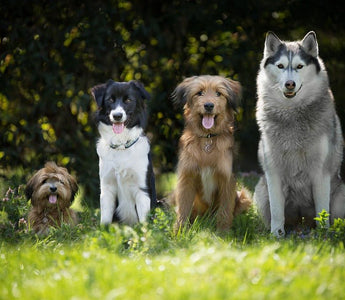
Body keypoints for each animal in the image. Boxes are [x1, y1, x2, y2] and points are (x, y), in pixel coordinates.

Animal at [171, 75, 251, 232]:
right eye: (199, 93)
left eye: (218, 93)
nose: (208, 105)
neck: (208, 139)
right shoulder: (187, 178)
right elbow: (183, 209)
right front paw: (179, 232)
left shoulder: (227, 179)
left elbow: (225, 211)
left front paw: (223, 233)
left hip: (244, 196)